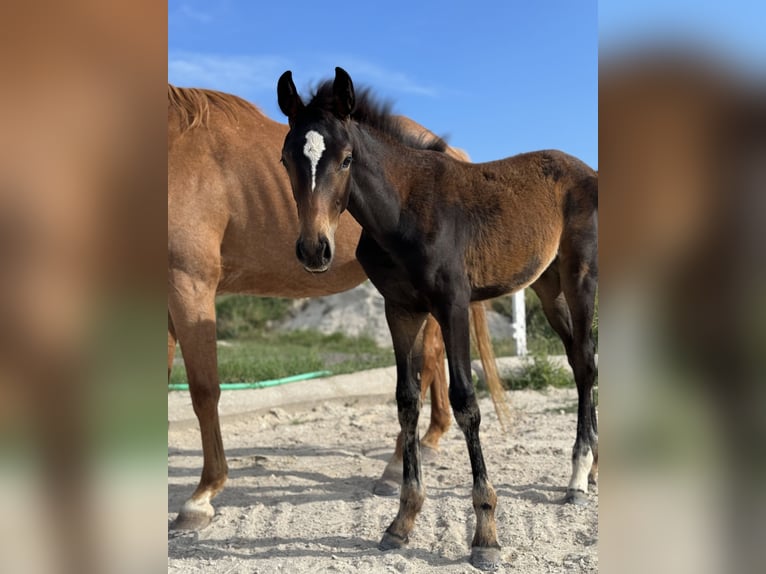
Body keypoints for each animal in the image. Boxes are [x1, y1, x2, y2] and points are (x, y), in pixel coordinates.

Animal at [166, 86, 510, 536]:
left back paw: (396, 467)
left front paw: (201, 497)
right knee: (432, 362)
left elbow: (204, 390)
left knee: (428, 363)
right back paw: (429, 442)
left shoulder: (190, 282)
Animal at [280, 67, 604, 572]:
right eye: (285, 159)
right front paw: (402, 521)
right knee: (577, 360)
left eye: (348, 158)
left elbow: (466, 401)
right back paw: (589, 473)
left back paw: (577, 476)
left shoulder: (453, 305)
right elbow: (406, 401)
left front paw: (486, 533)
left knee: (587, 362)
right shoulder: (401, 309)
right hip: (548, 287)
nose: (315, 249)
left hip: (580, 277)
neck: (404, 211)